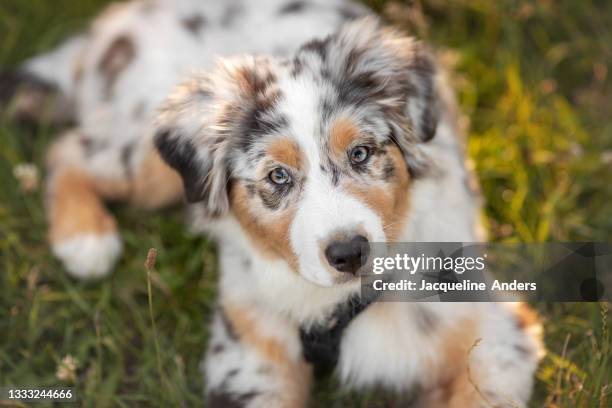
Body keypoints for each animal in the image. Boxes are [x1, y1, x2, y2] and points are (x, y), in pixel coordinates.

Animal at [2, 0, 544, 406]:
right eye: (277, 176)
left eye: (361, 152)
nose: (350, 253)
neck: (336, 306)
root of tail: (120, 18)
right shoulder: (248, 354)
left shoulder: (494, 335)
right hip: (147, 146)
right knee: (69, 150)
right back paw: (85, 241)